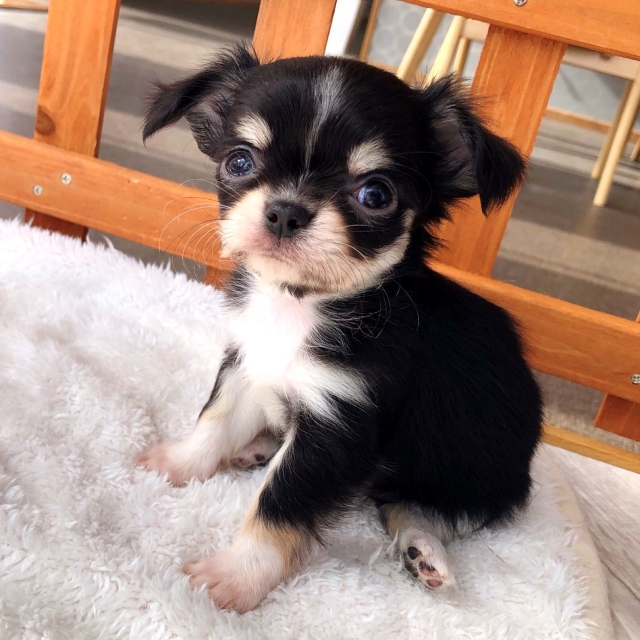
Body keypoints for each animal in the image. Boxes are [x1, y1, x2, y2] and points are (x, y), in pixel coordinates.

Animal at [138, 44, 543, 613]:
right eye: (239, 161)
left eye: (375, 194)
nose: (285, 211)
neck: (297, 306)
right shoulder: (247, 365)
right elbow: (214, 421)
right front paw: (179, 462)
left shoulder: (339, 425)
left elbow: (279, 504)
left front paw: (236, 576)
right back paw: (258, 446)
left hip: (469, 473)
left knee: (417, 506)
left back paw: (424, 551)